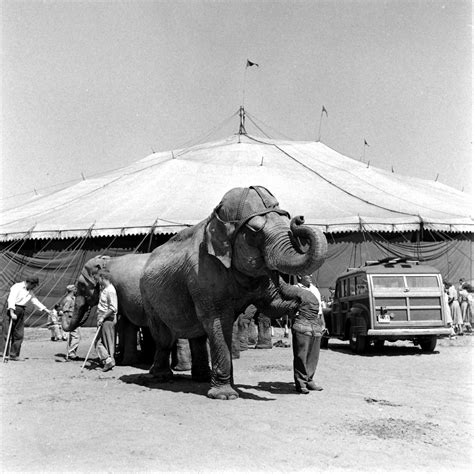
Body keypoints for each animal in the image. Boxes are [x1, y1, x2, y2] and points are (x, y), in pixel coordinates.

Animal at [139, 185, 328, 400]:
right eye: (255, 230)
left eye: (285, 218)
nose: (299, 218)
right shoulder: (204, 273)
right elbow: (219, 321)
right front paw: (226, 395)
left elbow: (273, 305)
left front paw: (306, 326)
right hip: (148, 297)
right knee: (164, 337)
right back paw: (160, 377)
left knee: (197, 334)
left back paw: (202, 378)